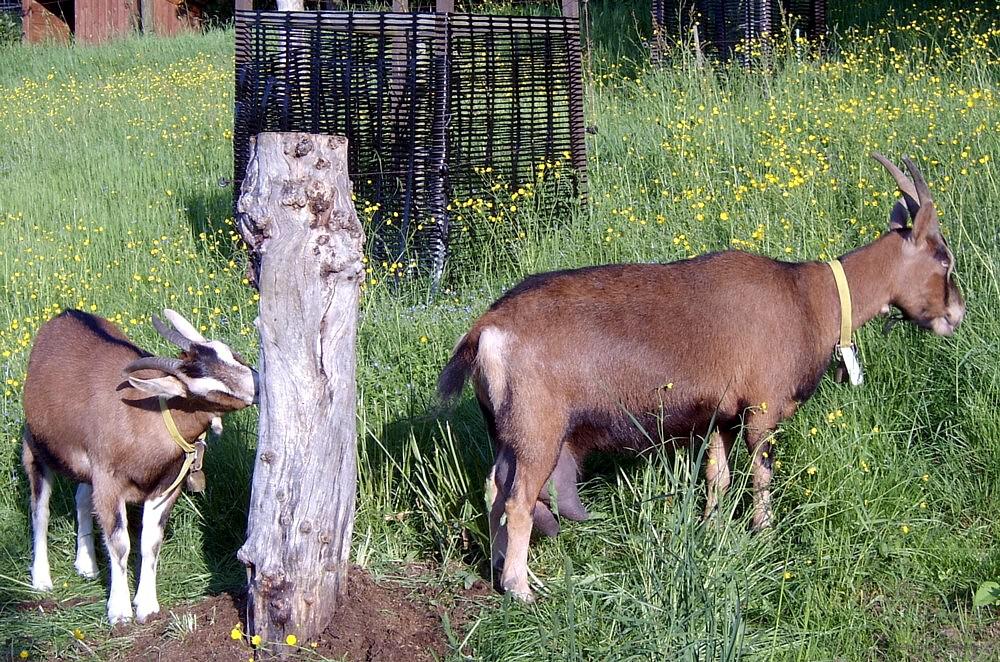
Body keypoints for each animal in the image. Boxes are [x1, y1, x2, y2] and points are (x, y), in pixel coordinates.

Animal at [23, 308, 260, 624]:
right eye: (209, 389)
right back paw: (41, 579)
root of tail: (66, 314)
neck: (146, 417)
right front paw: (120, 611)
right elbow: (120, 543)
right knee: (40, 509)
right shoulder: (109, 481)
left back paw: (87, 565)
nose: (258, 385)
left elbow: (151, 541)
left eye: (231, 354)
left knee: (83, 496)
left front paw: (147, 605)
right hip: (35, 445)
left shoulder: (165, 486)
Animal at [440, 154, 968, 600]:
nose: (956, 314)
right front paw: (764, 536)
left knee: (494, 489)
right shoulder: (761, 410)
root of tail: (486, 329)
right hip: (539, 429)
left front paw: (713, 530)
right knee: (518, 502)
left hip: (507, 430)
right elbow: (760, 476)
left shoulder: (720, 417)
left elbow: (718, 476)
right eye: (943, 259)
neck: (809, 300)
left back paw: (497, 568)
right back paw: (521, 589)